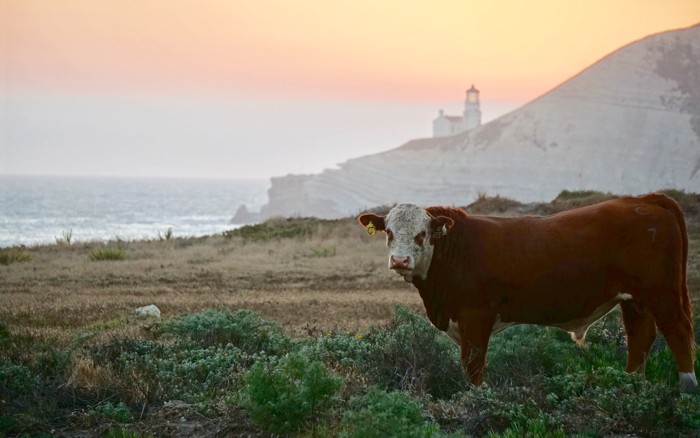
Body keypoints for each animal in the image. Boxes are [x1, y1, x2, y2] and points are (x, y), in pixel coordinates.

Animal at [358, 194, 698, 392]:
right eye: (389, 232)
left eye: (421, 234)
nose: (400, 260)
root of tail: (644, 199)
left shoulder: (475, 316)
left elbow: (473, 366)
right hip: (634, 298)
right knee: (640, 336)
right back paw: (630, 387)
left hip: (662, 292)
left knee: (678, 332)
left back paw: (686, 390)